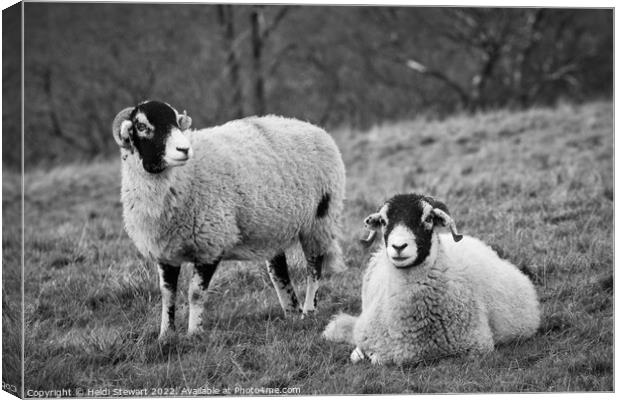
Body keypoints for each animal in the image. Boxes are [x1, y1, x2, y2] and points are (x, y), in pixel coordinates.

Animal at [109, 100, 346, 338]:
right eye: (141, 126)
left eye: (176, 122)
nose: (184, 150)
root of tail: (312, 127)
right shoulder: (165, 251)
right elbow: (167, 294)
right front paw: (166, 335)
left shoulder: (211, 243)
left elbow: (195, 293)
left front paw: (194, 333)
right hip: (272, 228)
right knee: (279, 272)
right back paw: (291, 312)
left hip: (319, 220)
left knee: (314, 268)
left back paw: (309, 311)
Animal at [322, 194, 540, 366]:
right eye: (383, 221)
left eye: (428, 218)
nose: (398, 246)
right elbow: (362, 352)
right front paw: (360, 353)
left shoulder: (477, 346)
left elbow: (378, 359)